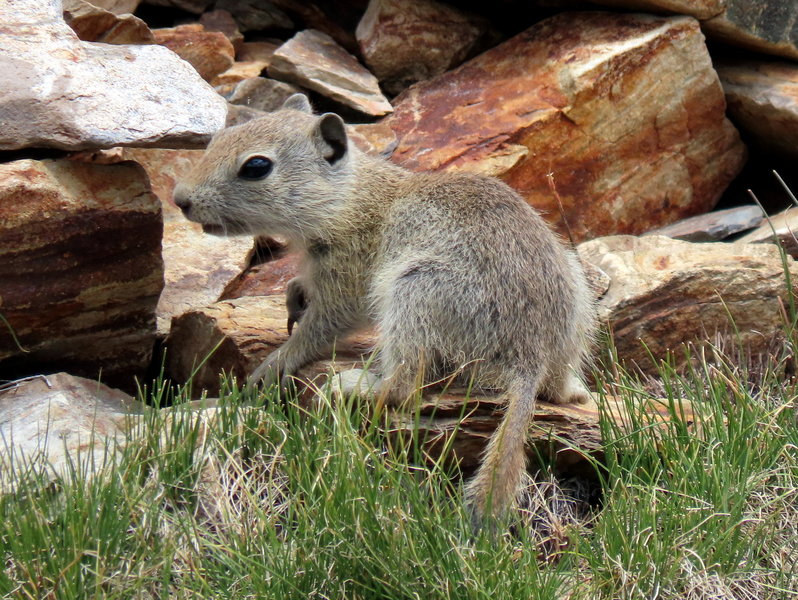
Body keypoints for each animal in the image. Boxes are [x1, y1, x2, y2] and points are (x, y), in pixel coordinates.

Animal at [177, 95, 600, 524]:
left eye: (256, 166)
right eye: (218, 138)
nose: (181, 199)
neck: (350, 198)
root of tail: (530, 359)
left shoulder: (346, 283)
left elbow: (319, 330)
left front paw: (271, 367)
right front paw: (294, 294)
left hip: (411, 294)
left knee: (402, 388)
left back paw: (356, 386)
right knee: (559, 391)